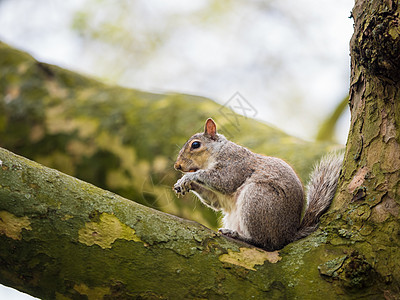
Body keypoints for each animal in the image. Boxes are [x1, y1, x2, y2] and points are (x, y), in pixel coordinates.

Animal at [173, 117, 344, 251]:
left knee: (264, 243)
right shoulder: (218, 197)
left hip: (256, 199)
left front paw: (189, 177)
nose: (177, 166)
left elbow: (224, 180)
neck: (216, 152)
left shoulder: (235, 164)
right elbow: (215, 202)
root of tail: (287, 235)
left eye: (195, 145)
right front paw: (184, 184)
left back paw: (238, 235)